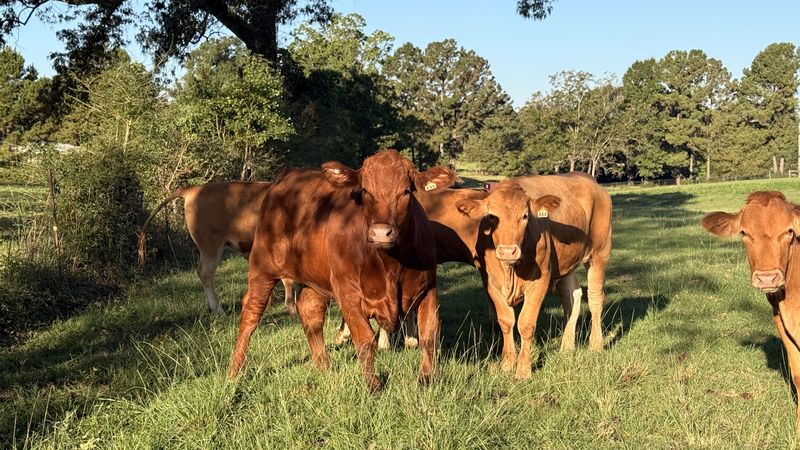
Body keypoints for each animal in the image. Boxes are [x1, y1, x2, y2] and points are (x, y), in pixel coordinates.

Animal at [137, 181, 297, 315]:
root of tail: (195, 189)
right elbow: (288, 279)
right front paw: (292, 309)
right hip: (210, 245)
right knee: (205, 272)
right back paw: (218, 309)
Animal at [227, 149, 456, 391]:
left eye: (406, 191)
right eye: (365, 190)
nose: (381, 233)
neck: (390, 266)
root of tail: (289, 174)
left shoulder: (428, 288)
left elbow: (430, 336)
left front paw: (427, 380)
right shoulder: (348, 293)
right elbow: (365, 340)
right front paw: (374, 386)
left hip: (315, 278)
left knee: (310, 313)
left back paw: (324, 368)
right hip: (262, 267)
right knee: (250, 315)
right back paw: (234, 372)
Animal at [455, 173, 613, 379]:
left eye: (525, 216)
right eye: (491, 216)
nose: (508, 251)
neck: (511, 272)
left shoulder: (540, 280)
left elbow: (526, 323)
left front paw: (523, 370)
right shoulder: (490, 282)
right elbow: (506, 322)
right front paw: (507, 365)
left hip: (600, 253)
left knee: (595, 298)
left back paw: (595, 344)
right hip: (566, 262)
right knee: (572, 295)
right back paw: (567, 346)